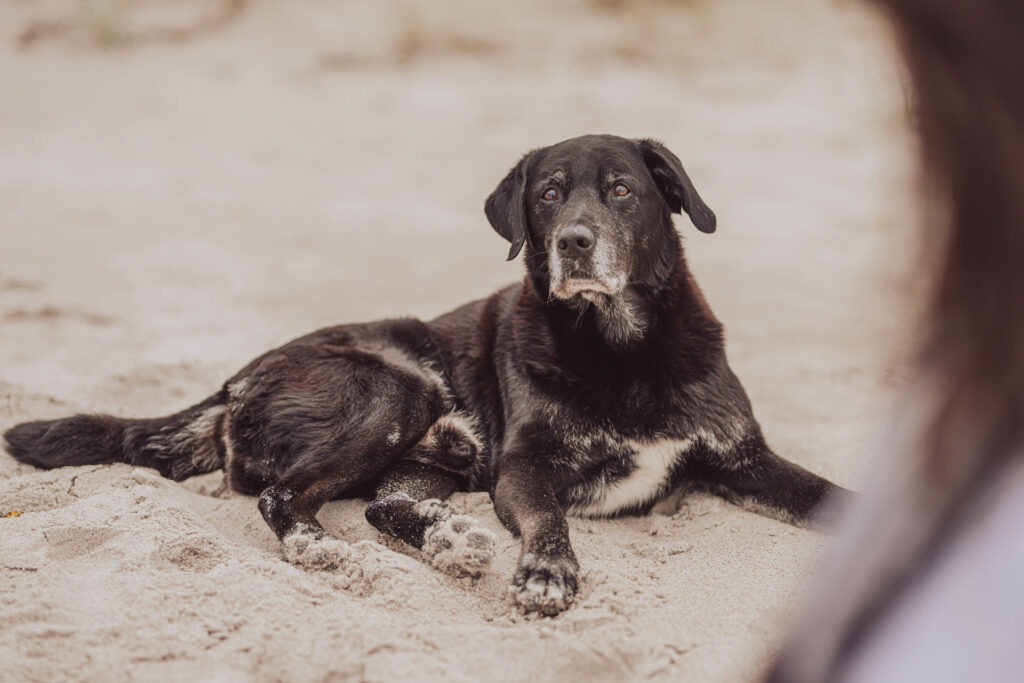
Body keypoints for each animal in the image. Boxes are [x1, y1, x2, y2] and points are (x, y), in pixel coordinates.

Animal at [2, 136, 847, 618]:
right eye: (549, 193)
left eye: (621, 189)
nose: (574, 242)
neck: (620, 347)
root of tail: (233, 380)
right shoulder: (525, 468)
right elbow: (551, 520)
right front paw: (546, 574)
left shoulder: (745, 458)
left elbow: (834, 498)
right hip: (394, 391)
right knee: (285, 496)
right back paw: (322, 546)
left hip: (433, 454)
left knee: (383, 504)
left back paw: (447, 538)